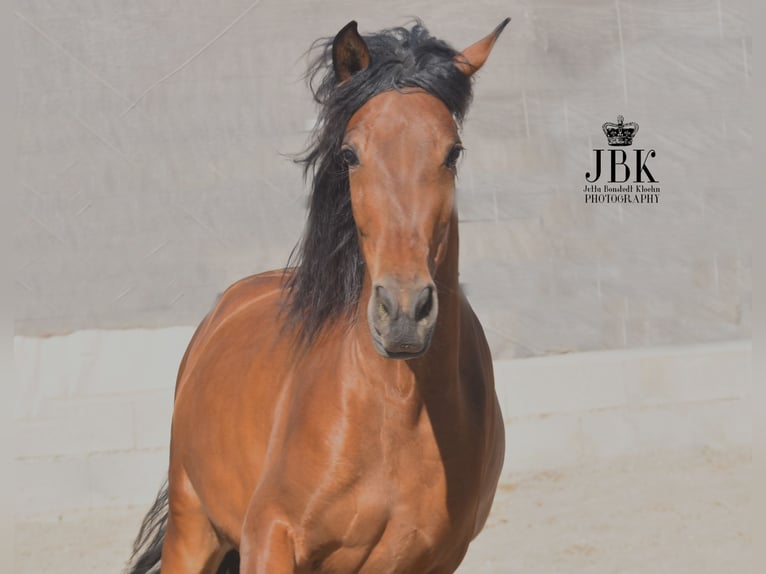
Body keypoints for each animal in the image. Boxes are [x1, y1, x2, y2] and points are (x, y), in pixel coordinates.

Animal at [127, 18, 510, 574]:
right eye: (350, 154)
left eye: (452, 153)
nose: (403, 314)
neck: (397, 406)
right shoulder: (269, 537)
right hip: (192, 531)